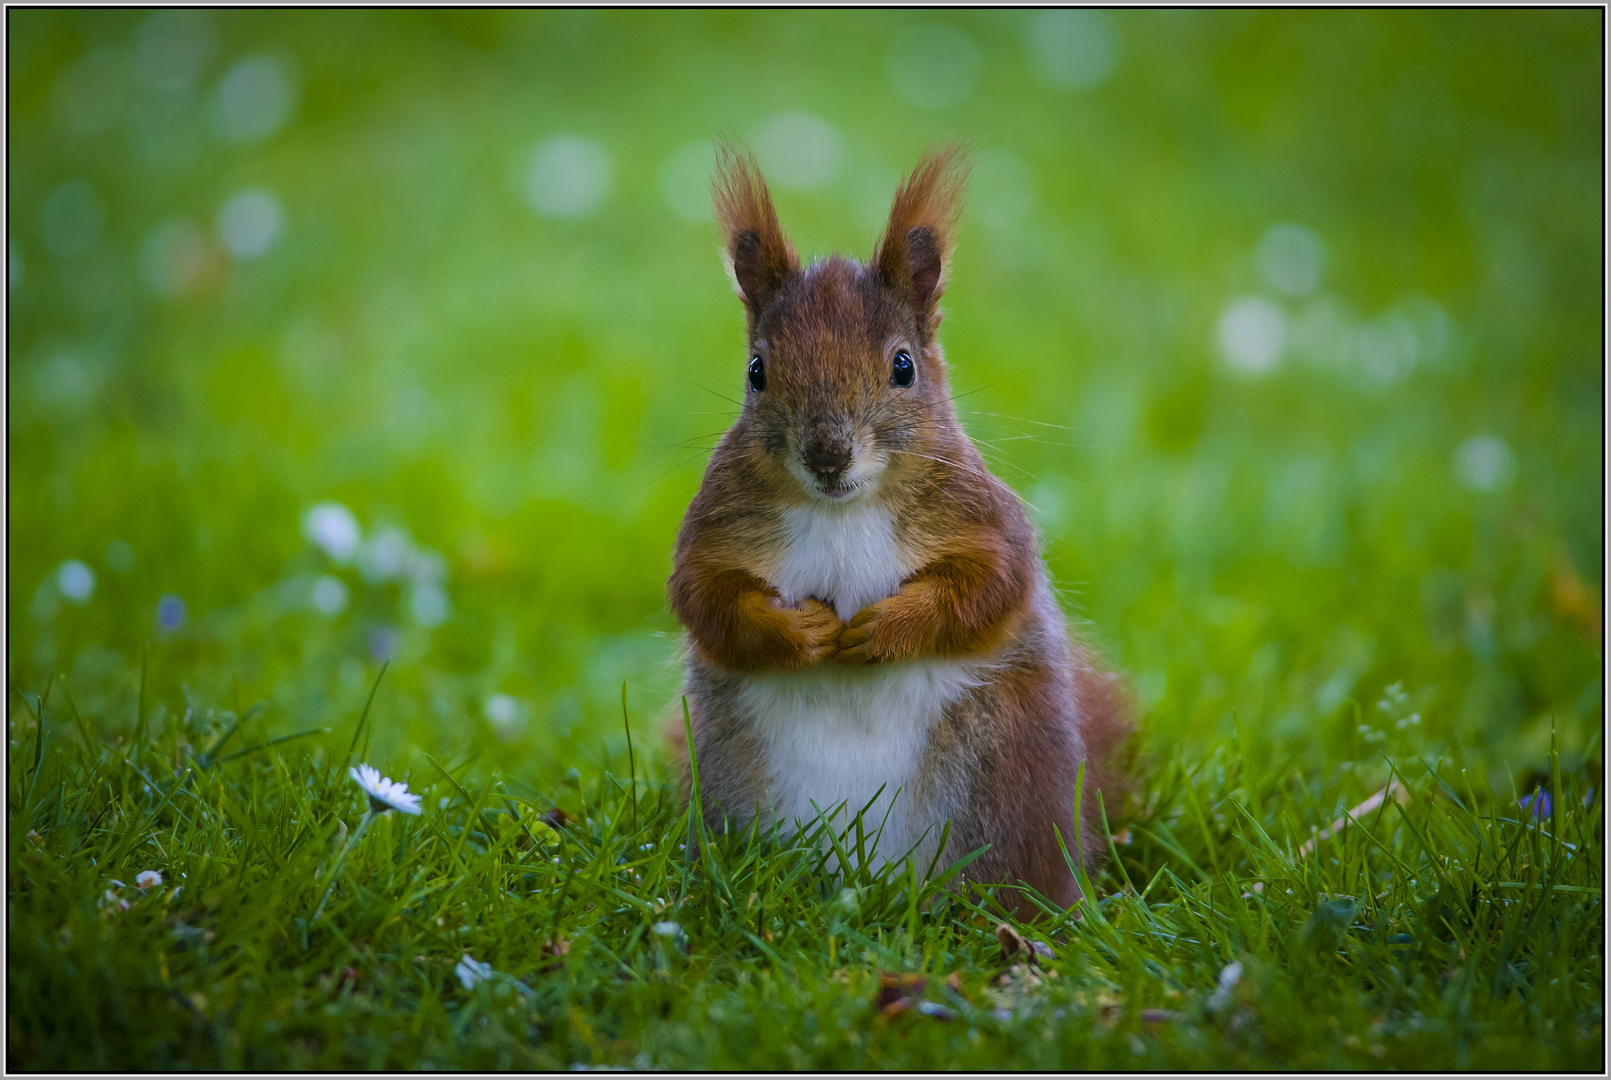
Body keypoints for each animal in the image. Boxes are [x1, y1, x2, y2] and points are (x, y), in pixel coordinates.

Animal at [666, 143, 1134, 915]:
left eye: (903, 366)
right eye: (757, 371)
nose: (827, 455)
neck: (841, 509)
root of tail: (875, 884)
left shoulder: (983, 518)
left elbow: (990, 583)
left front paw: (887, 628)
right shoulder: (713, 528)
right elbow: (703, 598)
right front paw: (797, 633)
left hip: (1003, 793)